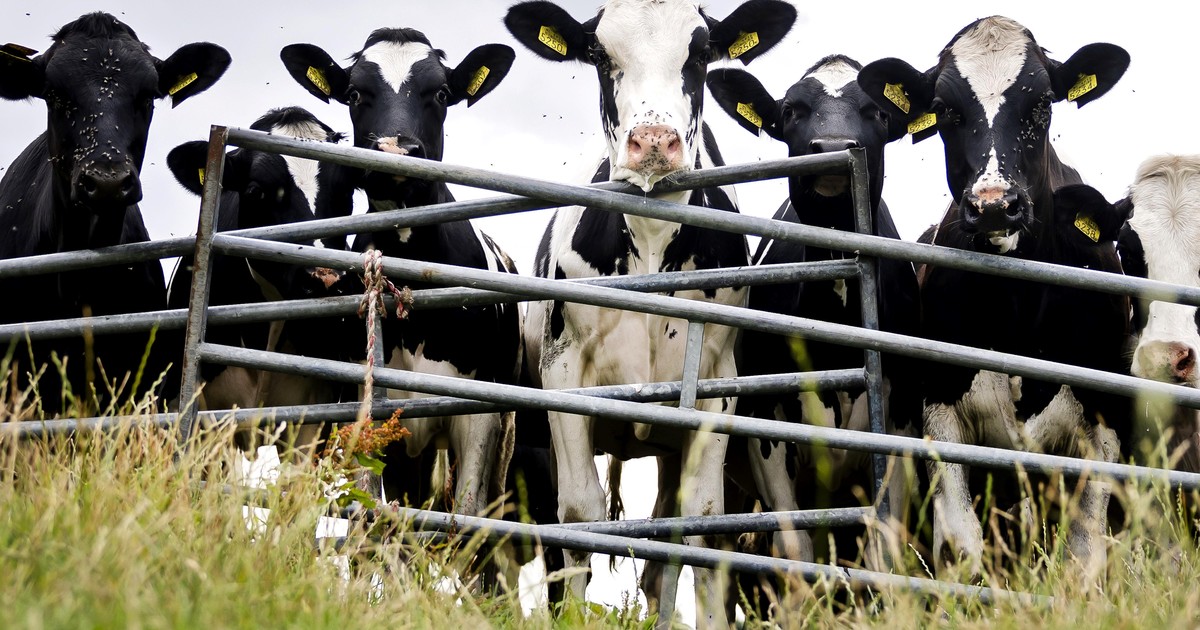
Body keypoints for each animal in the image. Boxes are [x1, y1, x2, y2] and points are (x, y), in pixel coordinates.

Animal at [279, 28, 522, 526]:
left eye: (442, 94)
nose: (394, 149)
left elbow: (467, 515)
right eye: (354, 94)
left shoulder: (479, 414)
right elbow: (372, 516)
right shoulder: (372, 410)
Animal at [504, 1, 796, 625]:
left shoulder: (715, 383)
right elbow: (579, 516)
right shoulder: (563, 375)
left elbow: (703, 523)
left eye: (702, 51)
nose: (655, 142)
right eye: (597, 53)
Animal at [706, 55, 922, 572]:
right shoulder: (767, 430)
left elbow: (883, 547)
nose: (835, 148)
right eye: (791, 110)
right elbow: (793, 549)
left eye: (878, 110)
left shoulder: (900, 425)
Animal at [858, 16, 1131, 580]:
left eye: (1043, 104)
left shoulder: (1104, 424)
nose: (994, 206)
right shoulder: (940, 409)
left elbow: (1083, 558)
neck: (1020, 309)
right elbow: (961, 547)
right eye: (945, 110)